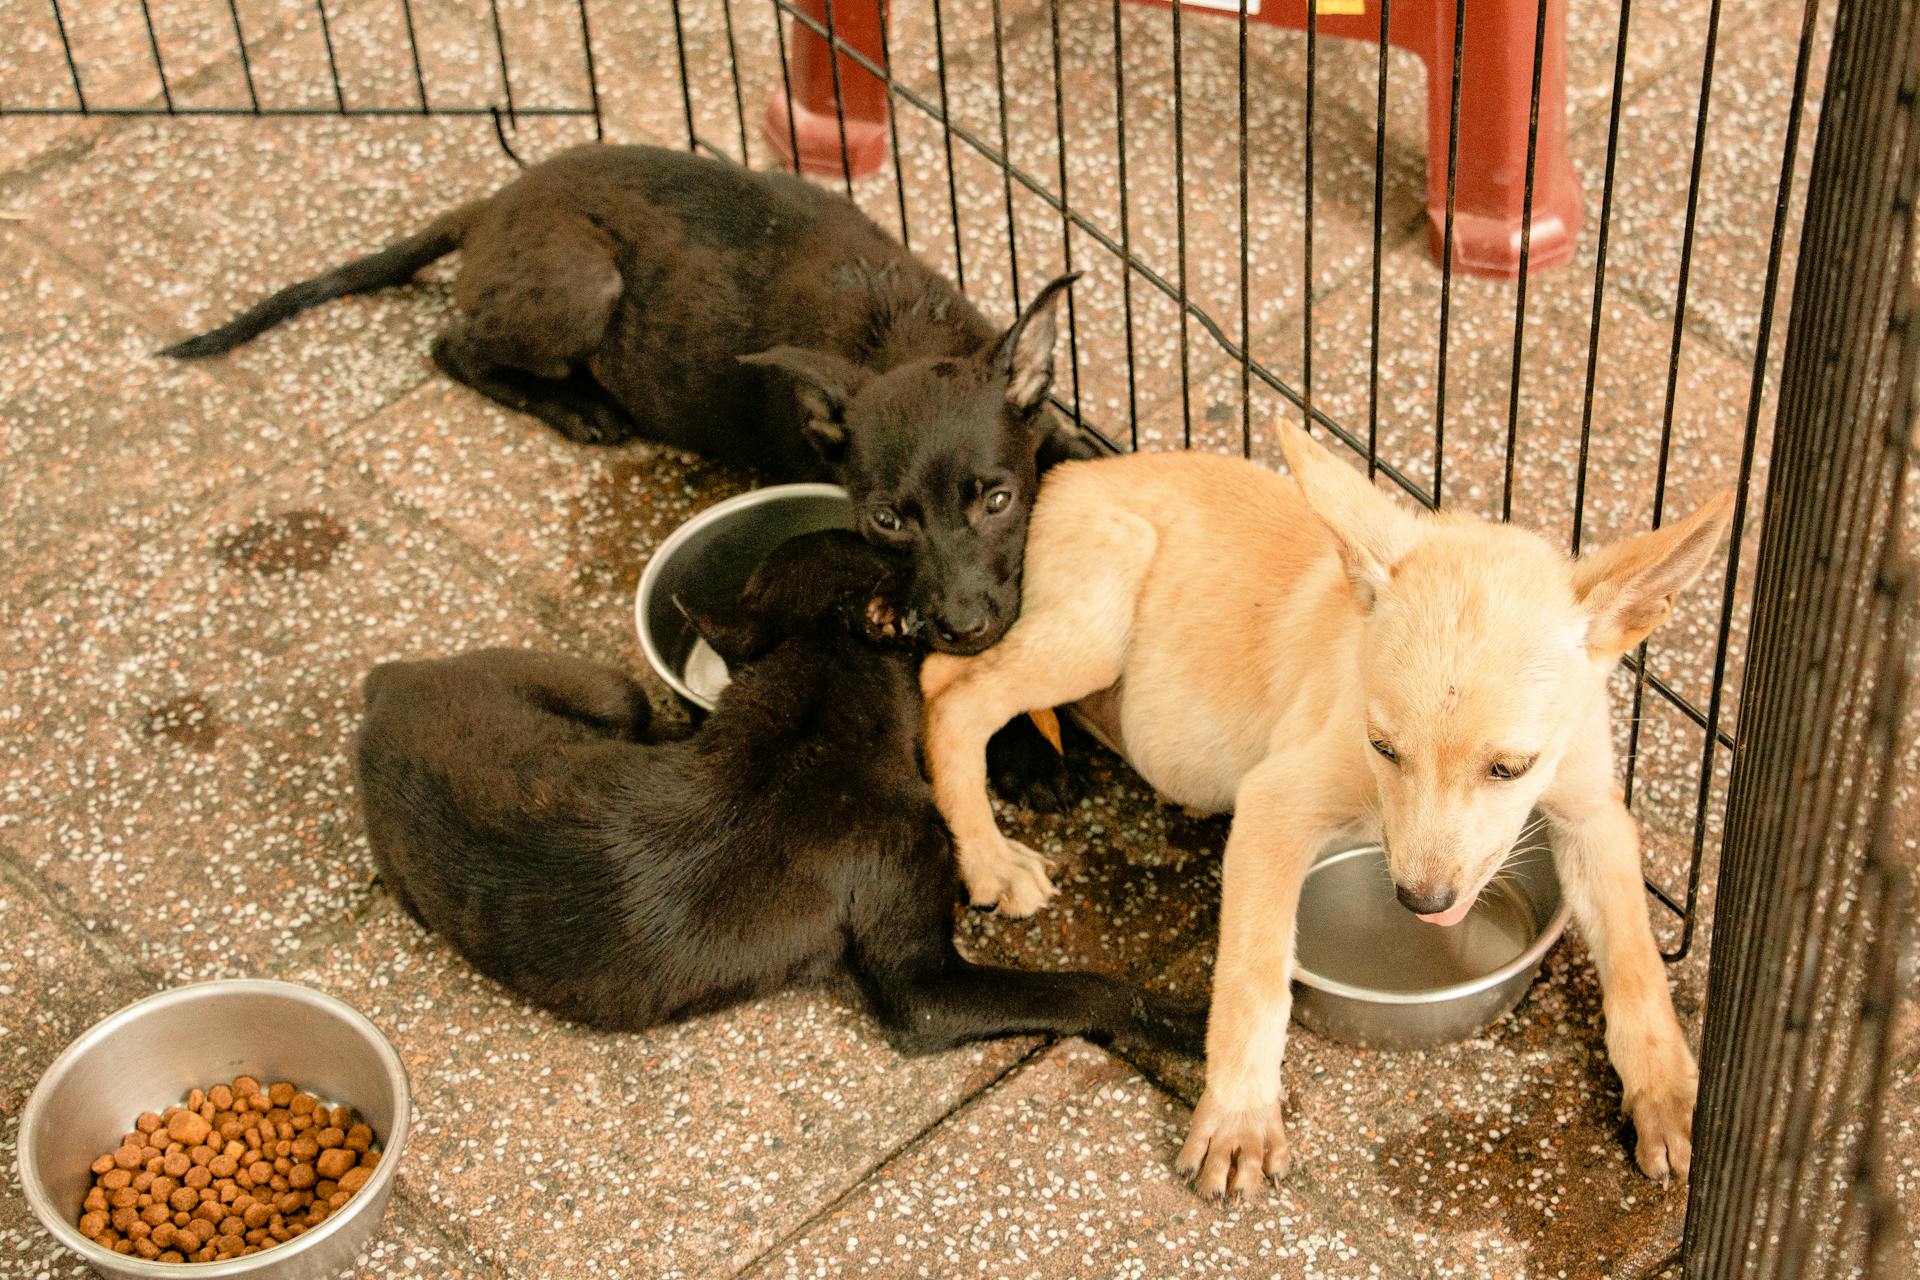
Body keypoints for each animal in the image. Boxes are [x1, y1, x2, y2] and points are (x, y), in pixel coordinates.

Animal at [168, 144, 1098, 805]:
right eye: (887, 521)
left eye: (998, 499)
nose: (960, 625)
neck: (899, 335)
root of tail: (499, 200)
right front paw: (1025, 750)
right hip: (581, 287)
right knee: (450, 344)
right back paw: (577, 407)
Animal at [351, 529, 1190, 1059]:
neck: (817, 688)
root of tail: (385, 684)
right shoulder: (924, 983)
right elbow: (1082, 989)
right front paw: (1181, 1020)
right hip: (612, 692)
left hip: (607, 696)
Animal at [921, 427, 1735, 1205]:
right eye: (1383, 746)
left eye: (1510, 768)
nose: (1422, 903)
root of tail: (1069, 472)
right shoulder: (1275, 803)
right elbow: (1253, 974)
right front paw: (1239, 1117)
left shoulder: (1596, 816)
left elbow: (1636, 961)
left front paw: (1670, 1095)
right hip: (1092, 627)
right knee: (948, 691)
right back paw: (989, 852)